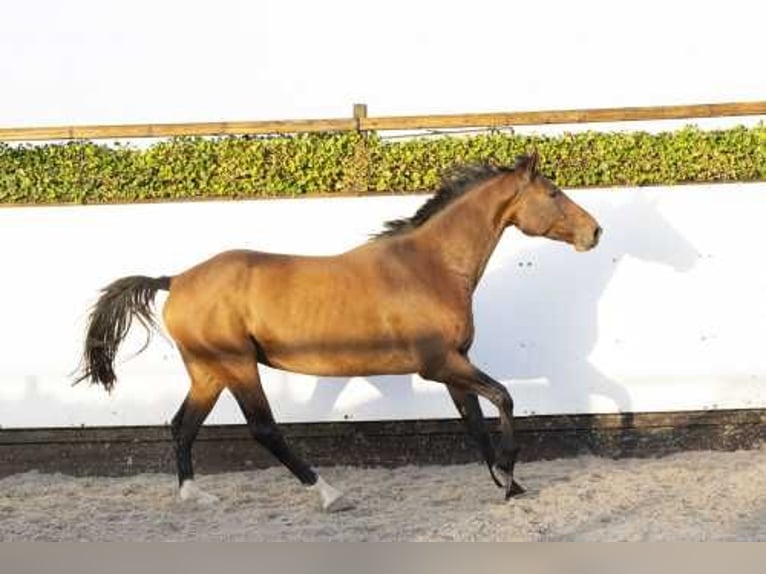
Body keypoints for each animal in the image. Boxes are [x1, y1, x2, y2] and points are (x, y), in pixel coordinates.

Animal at [75, 153, 604, 512]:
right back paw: (330, 494)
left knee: (181, 424)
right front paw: (511, 472)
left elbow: (474, 420)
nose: (595, 232)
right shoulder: (439, 365)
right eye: (553, 193)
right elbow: (504, 398)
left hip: (208, 371)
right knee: (264, 429)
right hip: (237, 365)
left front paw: (508, 483)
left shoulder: (456, 364)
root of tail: (175, 279)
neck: (429, 266)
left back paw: (194, 496)